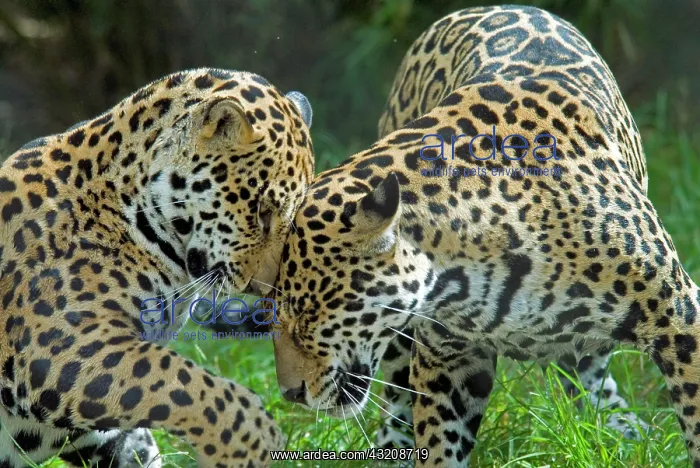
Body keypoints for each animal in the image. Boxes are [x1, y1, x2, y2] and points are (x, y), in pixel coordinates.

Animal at [0, 68, 314, 467]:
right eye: (262, 210)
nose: (264, 288)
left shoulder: (105, 433)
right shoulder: (55, 344)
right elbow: (182, 382)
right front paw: (254, 439)